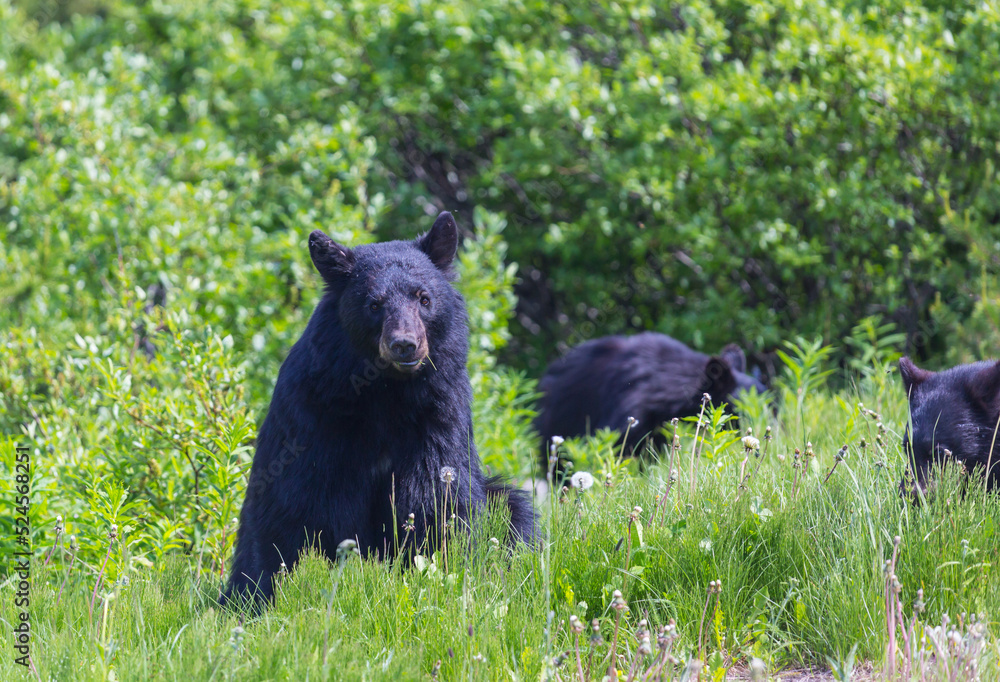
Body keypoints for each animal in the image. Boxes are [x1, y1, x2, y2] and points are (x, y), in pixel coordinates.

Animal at [222, 211, 537, 607]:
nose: (405, 344)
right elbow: (303, 503)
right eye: (374, 304)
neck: (387, 394)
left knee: (513, 510)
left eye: (424, 298)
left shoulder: (439, 412)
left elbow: (434, 493)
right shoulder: (314, 416)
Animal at [534, 332, 766, 476]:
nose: (763, 436)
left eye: (771, 406)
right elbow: (624, 449)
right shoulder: (630, 410)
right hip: (557, 424)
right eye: (741, 412)